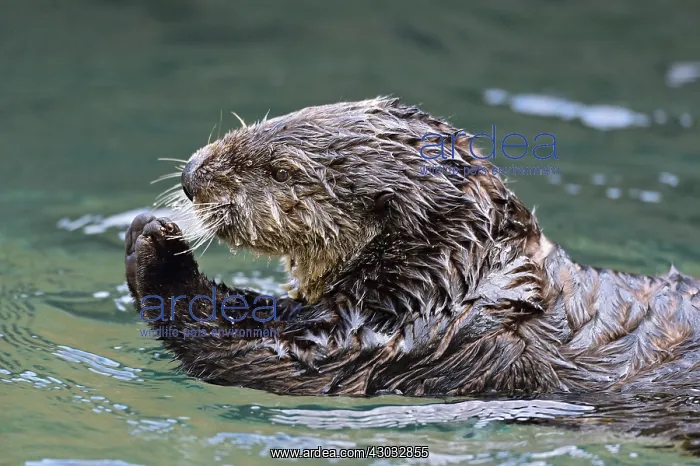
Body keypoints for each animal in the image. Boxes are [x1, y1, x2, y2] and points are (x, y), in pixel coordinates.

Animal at [125, 97, 700, 397]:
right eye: (265, 121)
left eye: (281, 171)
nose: (190, 175)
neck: (455, 273)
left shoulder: (417, 335)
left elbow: (292, 359)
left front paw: (157, 248)